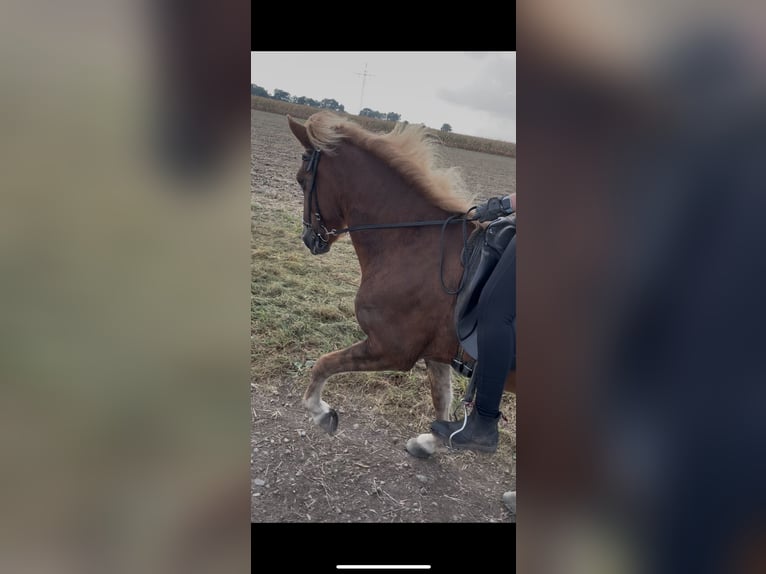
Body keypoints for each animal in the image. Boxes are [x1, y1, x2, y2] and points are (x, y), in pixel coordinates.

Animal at [286, 111, 515, 458]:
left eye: (302, 180)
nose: (309, 239)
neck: (411, 241)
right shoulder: (435, 352)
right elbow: (441, 397)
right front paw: (430, 441)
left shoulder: (390, 348)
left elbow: (324, 363)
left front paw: (320, 412)